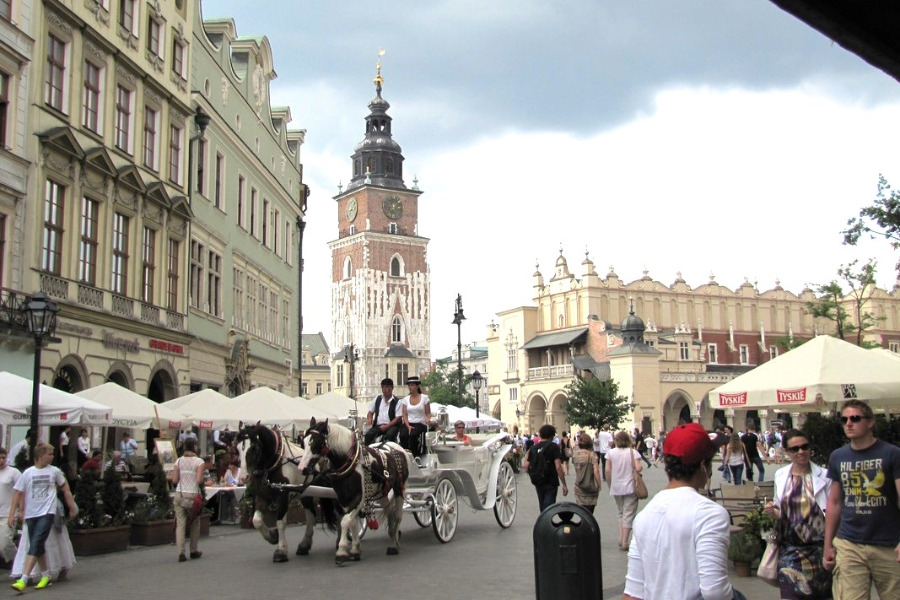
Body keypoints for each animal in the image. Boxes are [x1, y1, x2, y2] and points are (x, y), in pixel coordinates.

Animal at [237, 424, 340, 560]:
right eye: (237, 448)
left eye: (254, 447)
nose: (244, 477)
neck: (274, 464)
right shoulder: (262, 495)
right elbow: (256, 521)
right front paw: (272, 536)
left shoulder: (283, 496)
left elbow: (281, 523)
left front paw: (281, 550)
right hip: (306, 493)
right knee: (311, 516)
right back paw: (304, 544)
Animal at [298, 418, 408, 564]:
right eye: (303, 442)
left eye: (317, 442)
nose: (302, 468)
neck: (349, 462)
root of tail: (396, 446)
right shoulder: (344, 498)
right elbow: (352, 522)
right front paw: (355, 550)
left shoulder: (358, 498)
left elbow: (345, 521)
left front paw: (341, 551)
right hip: (383, 492)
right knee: (390, 512)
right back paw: (392, 538)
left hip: (400, 489)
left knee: (397, 516)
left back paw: (394, 545)